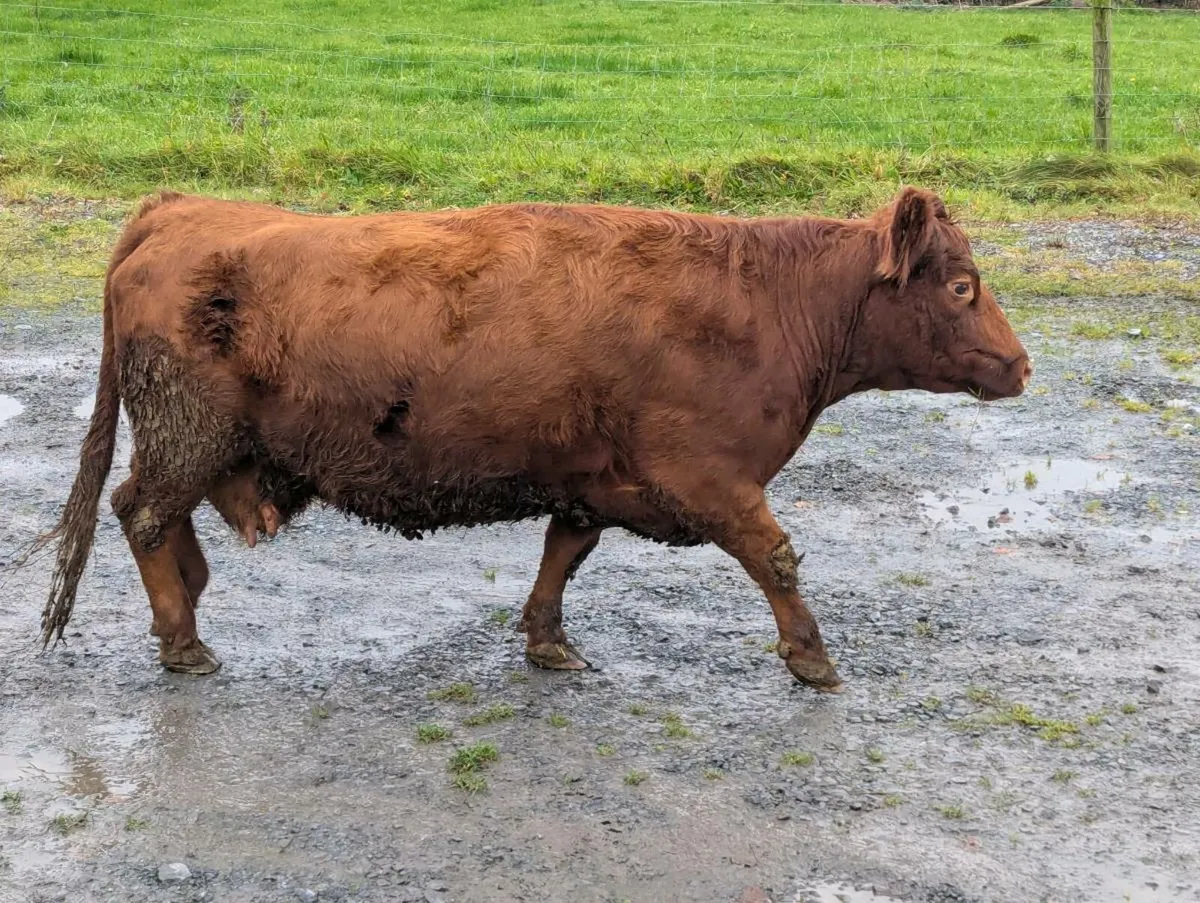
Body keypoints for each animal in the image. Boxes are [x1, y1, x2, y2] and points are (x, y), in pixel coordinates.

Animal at [34, 187, 1031, 693]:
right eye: (961, 286)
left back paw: (191, 604)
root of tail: (178, 209)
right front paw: (812, 657)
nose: (1022, 365)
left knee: (158, 520)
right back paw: (182, 638)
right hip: (186, 434)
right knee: (142, 515)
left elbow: (564, 553)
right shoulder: (711, 479)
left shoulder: (595, 476)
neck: (766, 303)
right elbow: (777, 559)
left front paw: (548, 641)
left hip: (200, 443)